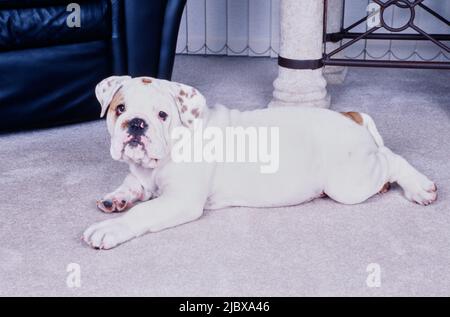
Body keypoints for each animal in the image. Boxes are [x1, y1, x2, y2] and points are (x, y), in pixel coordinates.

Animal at [82, 76, 438, 249]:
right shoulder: (140, 177)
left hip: (348, 184)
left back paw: (420, 187)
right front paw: (115, 199)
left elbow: (143, 212)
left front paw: (109, 229)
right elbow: (132, 186)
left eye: (162, 115)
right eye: (119, 109)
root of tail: (351, 116)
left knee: (391, 159)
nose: (136, 124)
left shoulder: (180, 201)